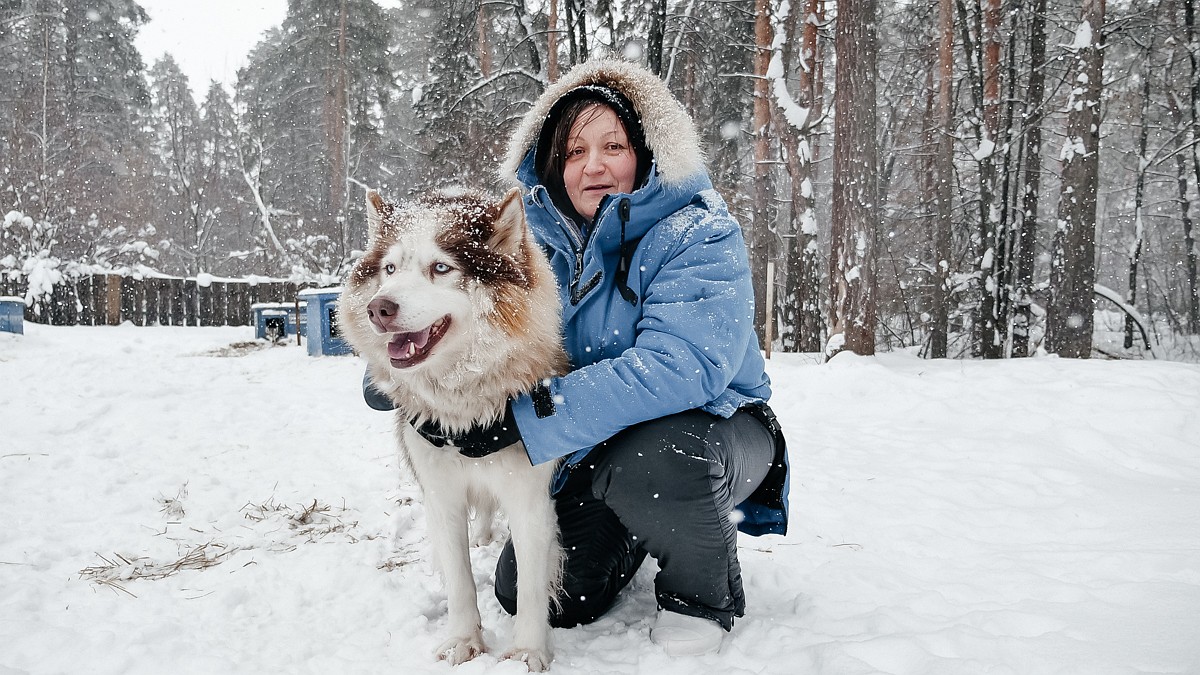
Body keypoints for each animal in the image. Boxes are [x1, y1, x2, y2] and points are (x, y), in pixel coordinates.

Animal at [336, 187, 564, 667]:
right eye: (389, 269)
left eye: (440, 268)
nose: (377, 308)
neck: (465, 411)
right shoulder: (441, 496)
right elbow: (460, 581)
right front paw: (464, 640)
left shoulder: (530, 500)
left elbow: (531, 589)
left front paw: (526, 652)